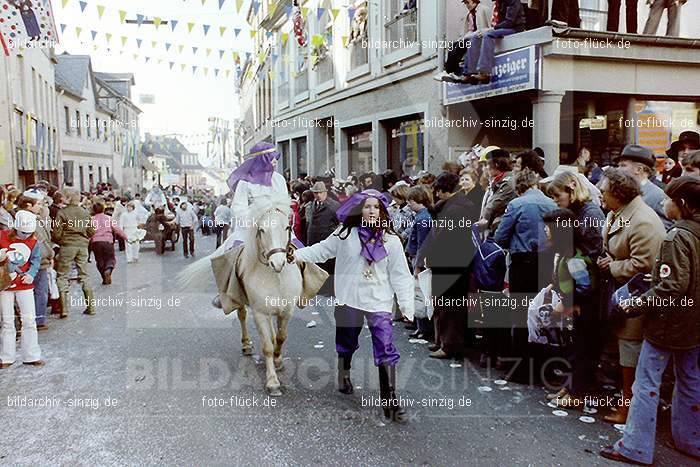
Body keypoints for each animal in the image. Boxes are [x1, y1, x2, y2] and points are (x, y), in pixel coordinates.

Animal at [179, 199, 324, 396]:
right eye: (261, 230)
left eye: (287, 227)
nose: (278, 263)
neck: (275, 276)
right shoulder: (259, 311)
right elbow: (267, 347)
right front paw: (272, 382)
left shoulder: (286, 310)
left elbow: (281, 337)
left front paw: (278, 359)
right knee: (242, 316)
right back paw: (246, 345)